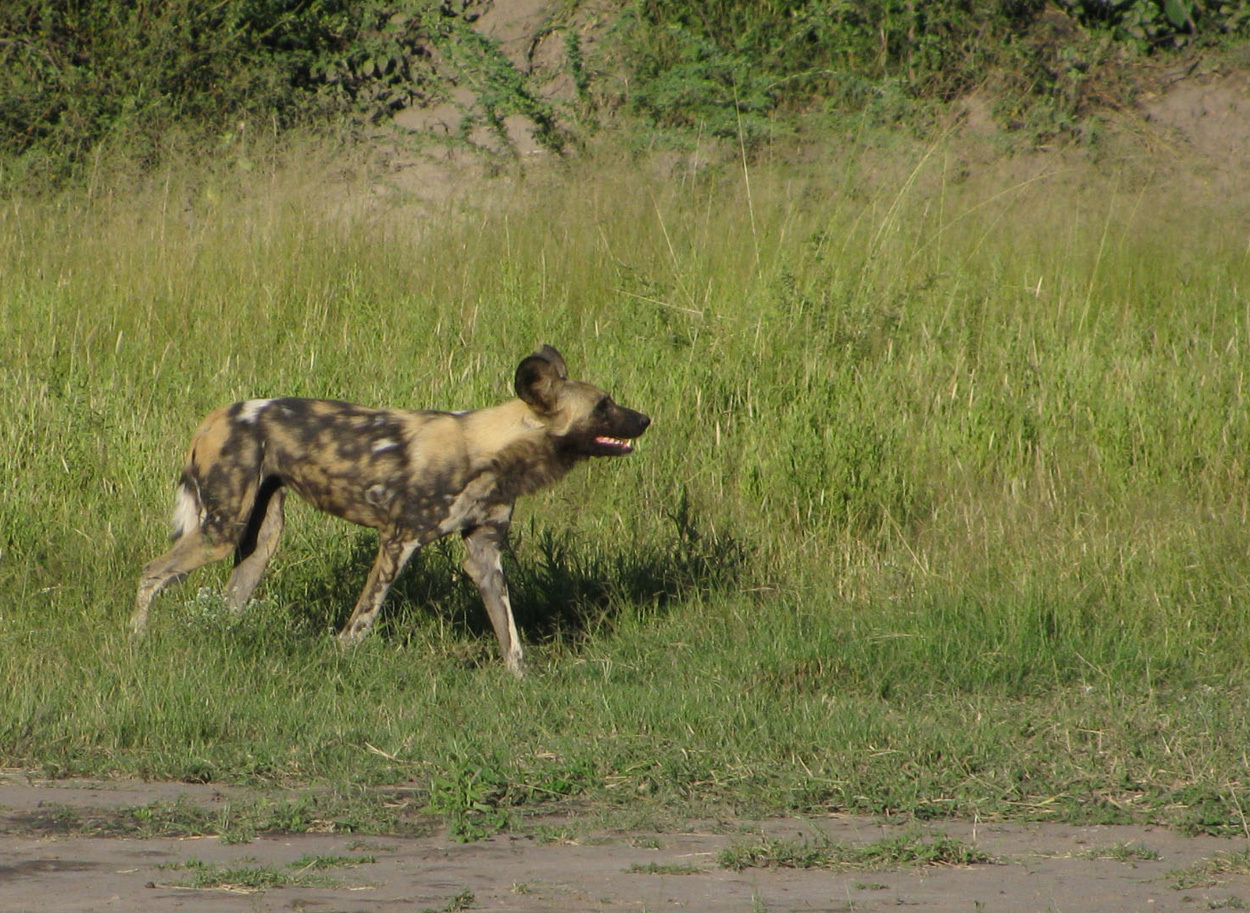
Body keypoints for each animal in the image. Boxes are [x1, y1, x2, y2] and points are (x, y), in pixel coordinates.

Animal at [131, 345, 650, 670]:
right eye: (603, 406)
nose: (645, 418)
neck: (492, 451)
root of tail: (216, 415)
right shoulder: (398, 542)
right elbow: (362, 620)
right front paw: (340, 659)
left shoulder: (484, 556)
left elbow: (511, 637)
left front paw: (519, 682)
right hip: (219, 533)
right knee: (151, 572)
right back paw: (136, 640)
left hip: (259, 540)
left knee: (229, 601)